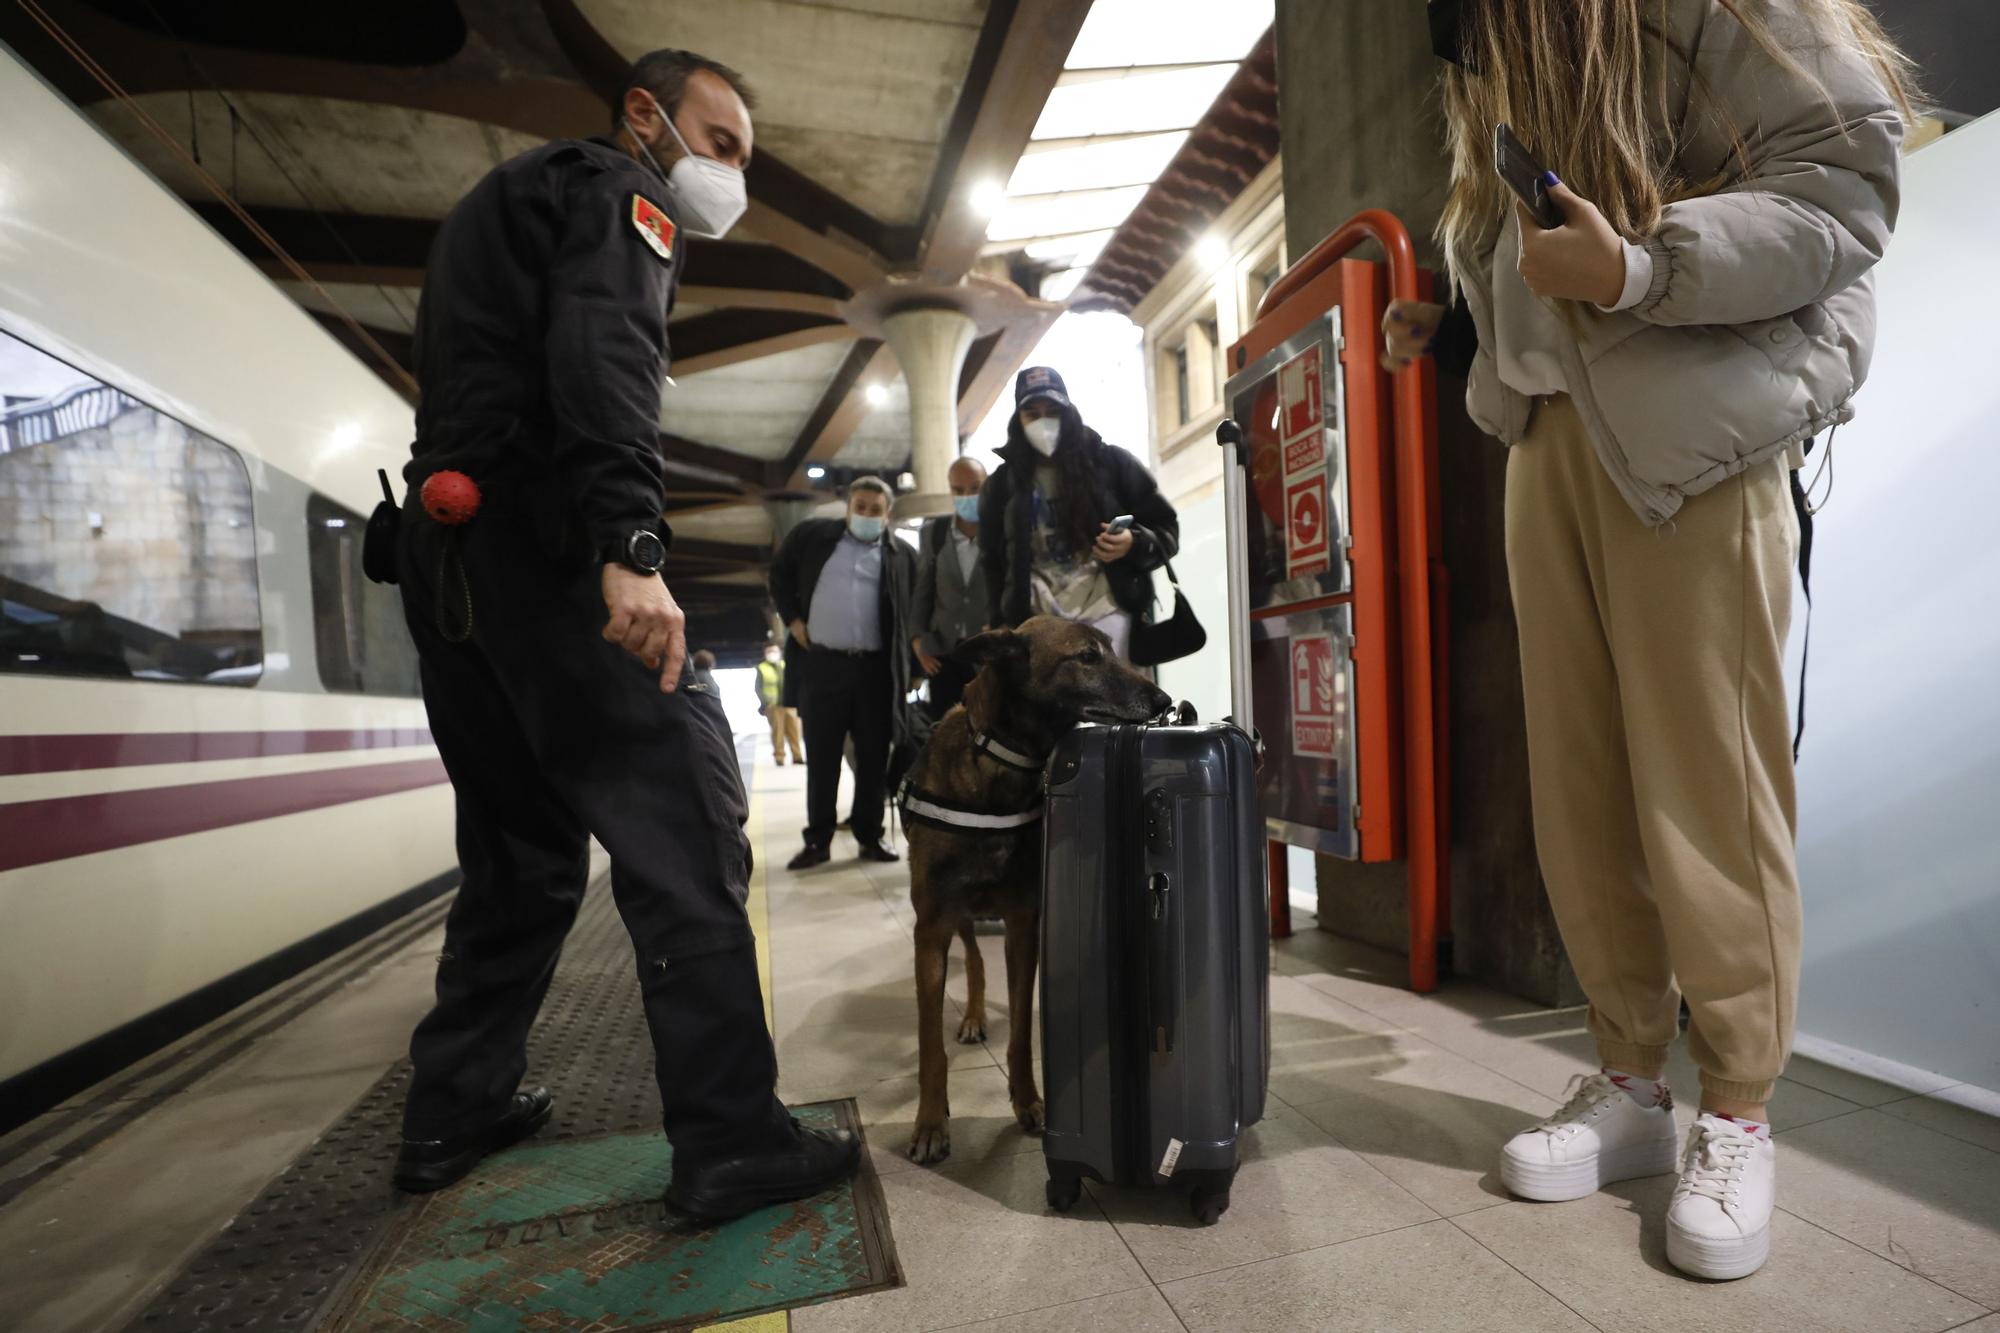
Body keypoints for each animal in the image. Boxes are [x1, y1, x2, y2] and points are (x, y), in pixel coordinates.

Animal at [900, 616, 1168, 1160]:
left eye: (1112, 650)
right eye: (1086, 657)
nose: (1164, 700)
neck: (999, 771)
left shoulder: (1024, 927)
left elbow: (1023, 1030)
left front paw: (1027, 1101)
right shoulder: (930, 930)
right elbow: (929, 1043)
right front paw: (931, 1123)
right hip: (954, 917)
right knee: (973, 956)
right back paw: (971, 1017)